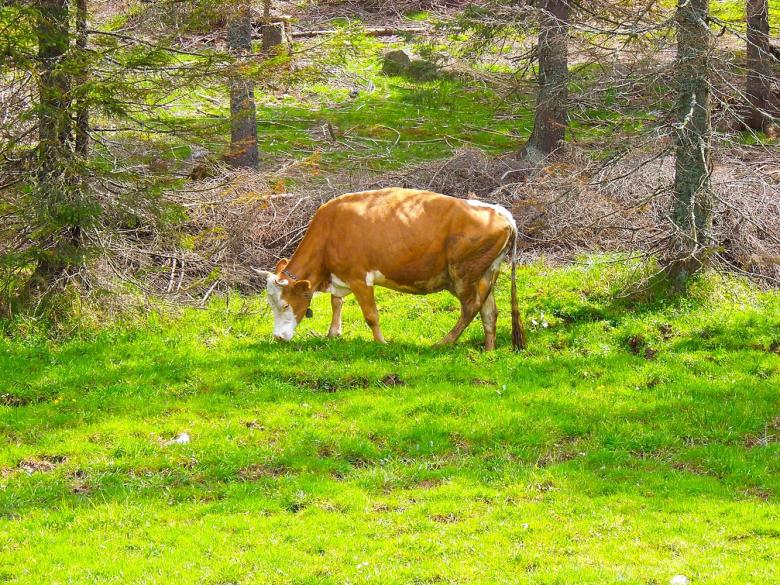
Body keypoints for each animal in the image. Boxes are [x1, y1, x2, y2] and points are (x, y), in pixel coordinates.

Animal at [253, 188, 526, 351]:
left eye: (285, 305)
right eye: (270, 304)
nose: (278, 337)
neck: (330, 230)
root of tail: (499, 210)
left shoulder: (360, 278)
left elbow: (370, 315)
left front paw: (381, 343)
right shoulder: (341, 277)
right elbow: (336, 303)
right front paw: (332, 334)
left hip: (462, 275)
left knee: (470, 308)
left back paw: (442, 343)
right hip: (485, 274)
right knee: (489, 311)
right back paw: (489, 350)